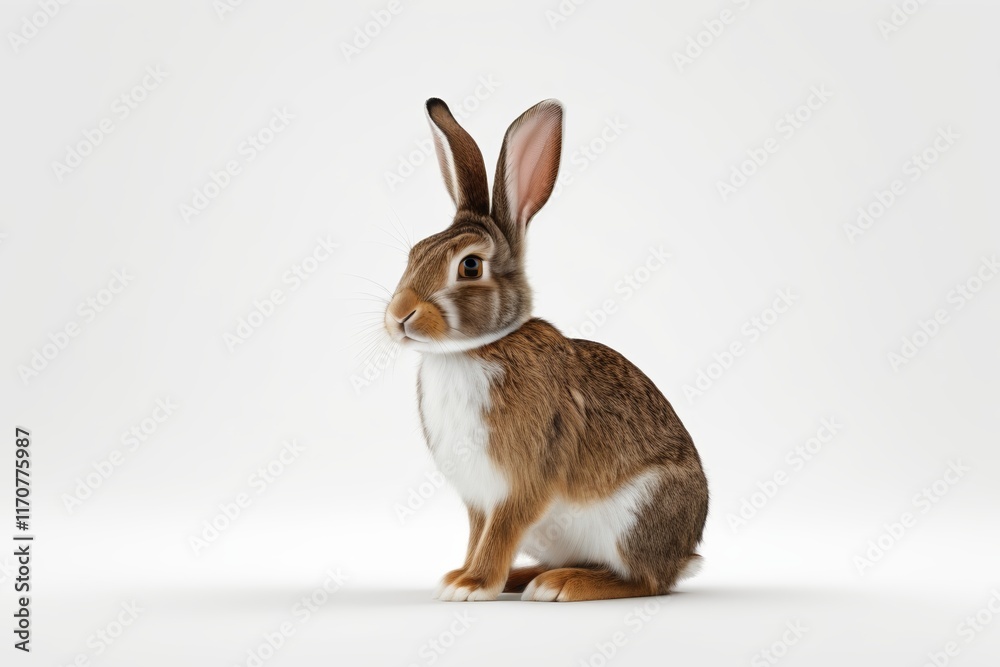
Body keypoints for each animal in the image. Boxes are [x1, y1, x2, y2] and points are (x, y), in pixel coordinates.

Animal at [383, 97, 708, 602]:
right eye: (415, 252)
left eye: (470, 266)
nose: (398, 315)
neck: (474, 350)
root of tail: (683, 555)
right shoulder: (479, 497)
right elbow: (479, 534)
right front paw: (460, 577)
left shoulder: (524, 482)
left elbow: (500, 532)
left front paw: (474, 584)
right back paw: (527, 578)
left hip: (637, 515)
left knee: (645, 581)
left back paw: (562, 585)